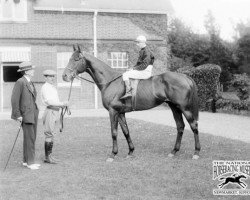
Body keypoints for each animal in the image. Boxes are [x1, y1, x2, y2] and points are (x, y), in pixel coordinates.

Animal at [62, 45, 201, 161]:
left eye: (76, 59)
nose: (64, 76)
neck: (110, 81)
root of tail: (185, 77)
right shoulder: (120, 113)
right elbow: (126, 131)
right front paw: (130, 152)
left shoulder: (113, 112)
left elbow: (114, 132)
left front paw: (113, 154)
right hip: (175, 108)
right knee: (180, 126)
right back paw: (174, 151)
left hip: (185, 108)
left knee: (193, 126)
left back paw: (196, 152)